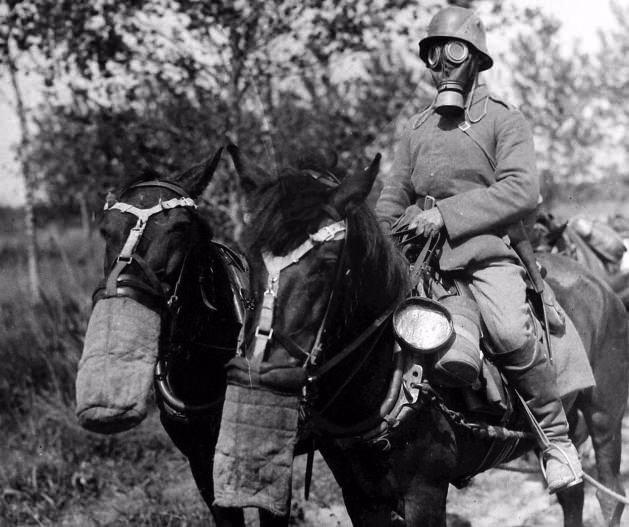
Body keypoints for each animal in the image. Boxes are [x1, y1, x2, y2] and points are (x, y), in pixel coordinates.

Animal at [221, 144, 628, 527]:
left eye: (327, 263)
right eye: (249, 255)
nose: (264, 373)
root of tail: (603, 288)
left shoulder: (425, 490)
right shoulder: (360, 495)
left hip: (604, 417)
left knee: (608, 495)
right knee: (573, 496)